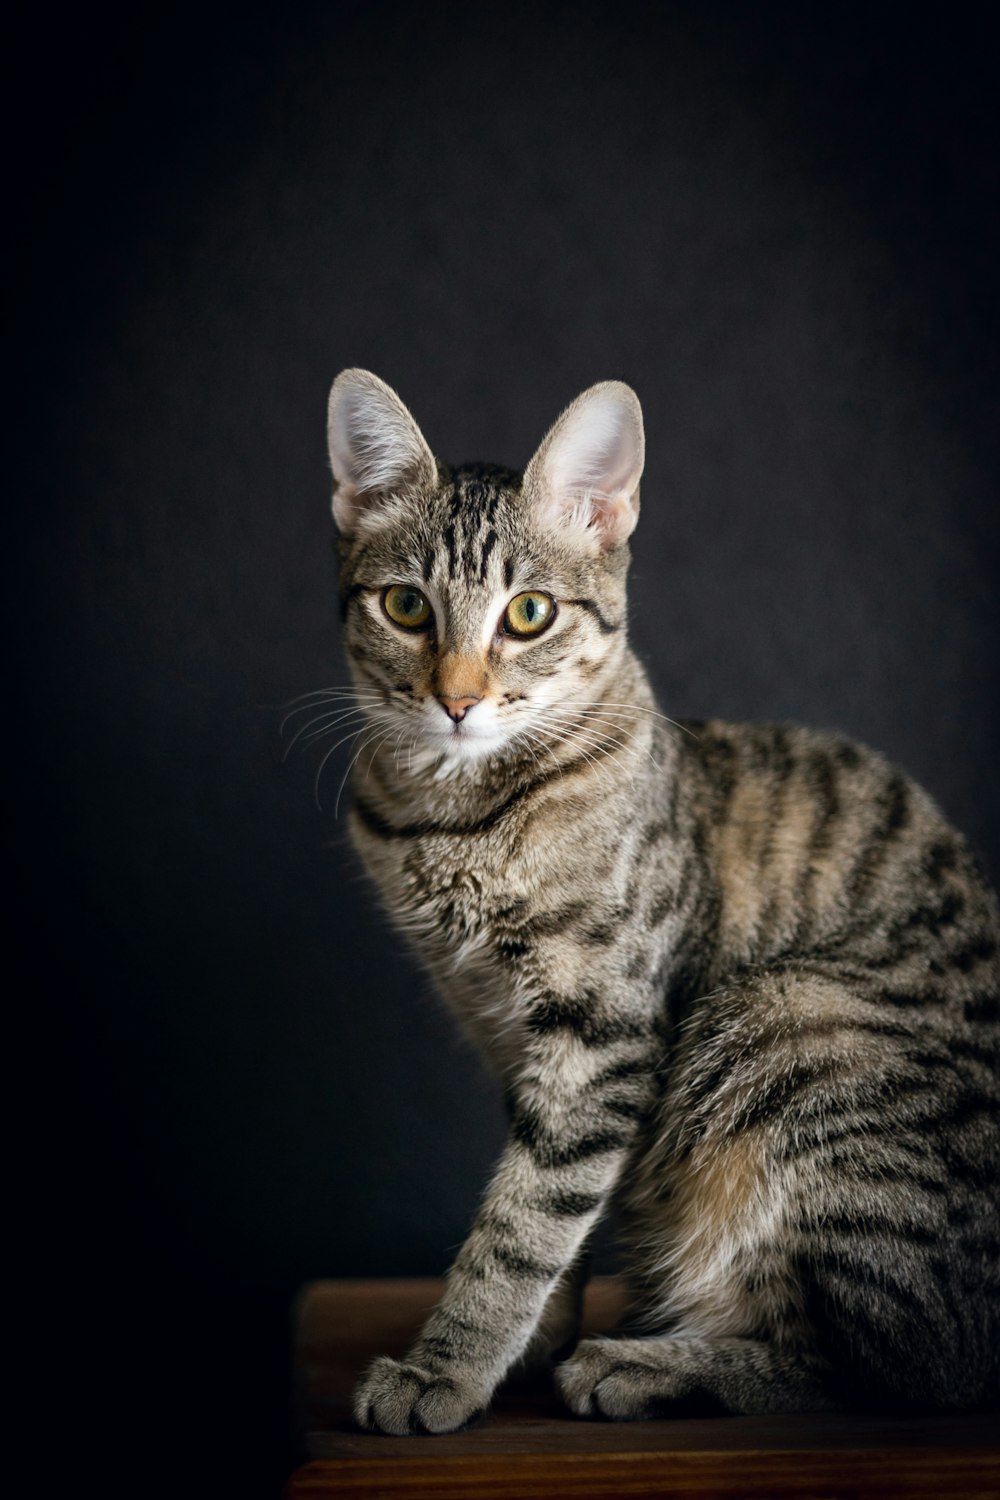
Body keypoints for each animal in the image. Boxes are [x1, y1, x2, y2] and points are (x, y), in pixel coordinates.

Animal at [320, 369, 1000, 1434]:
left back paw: (650, 1365)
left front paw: (448, 1368)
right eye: (404, 606)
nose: (457, 699)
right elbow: (545, 1208)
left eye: (528, 614)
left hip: (780, 1018)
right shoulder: (508, 1033)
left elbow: (524, 1221)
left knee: (887, 1367)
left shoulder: (605, 1028)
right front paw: (523, 1347)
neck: (456, 823)